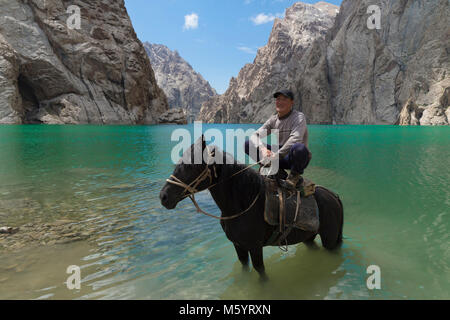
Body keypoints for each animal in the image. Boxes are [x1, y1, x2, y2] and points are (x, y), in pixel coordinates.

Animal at [160, 136, 342, 280]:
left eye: (191, 166)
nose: (163, 197)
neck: (243, 204)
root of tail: (333, 196)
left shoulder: (254, 247)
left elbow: (260, 271)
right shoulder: (239, 246)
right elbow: (244, 267)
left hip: (330, 240)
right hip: (308, 237)